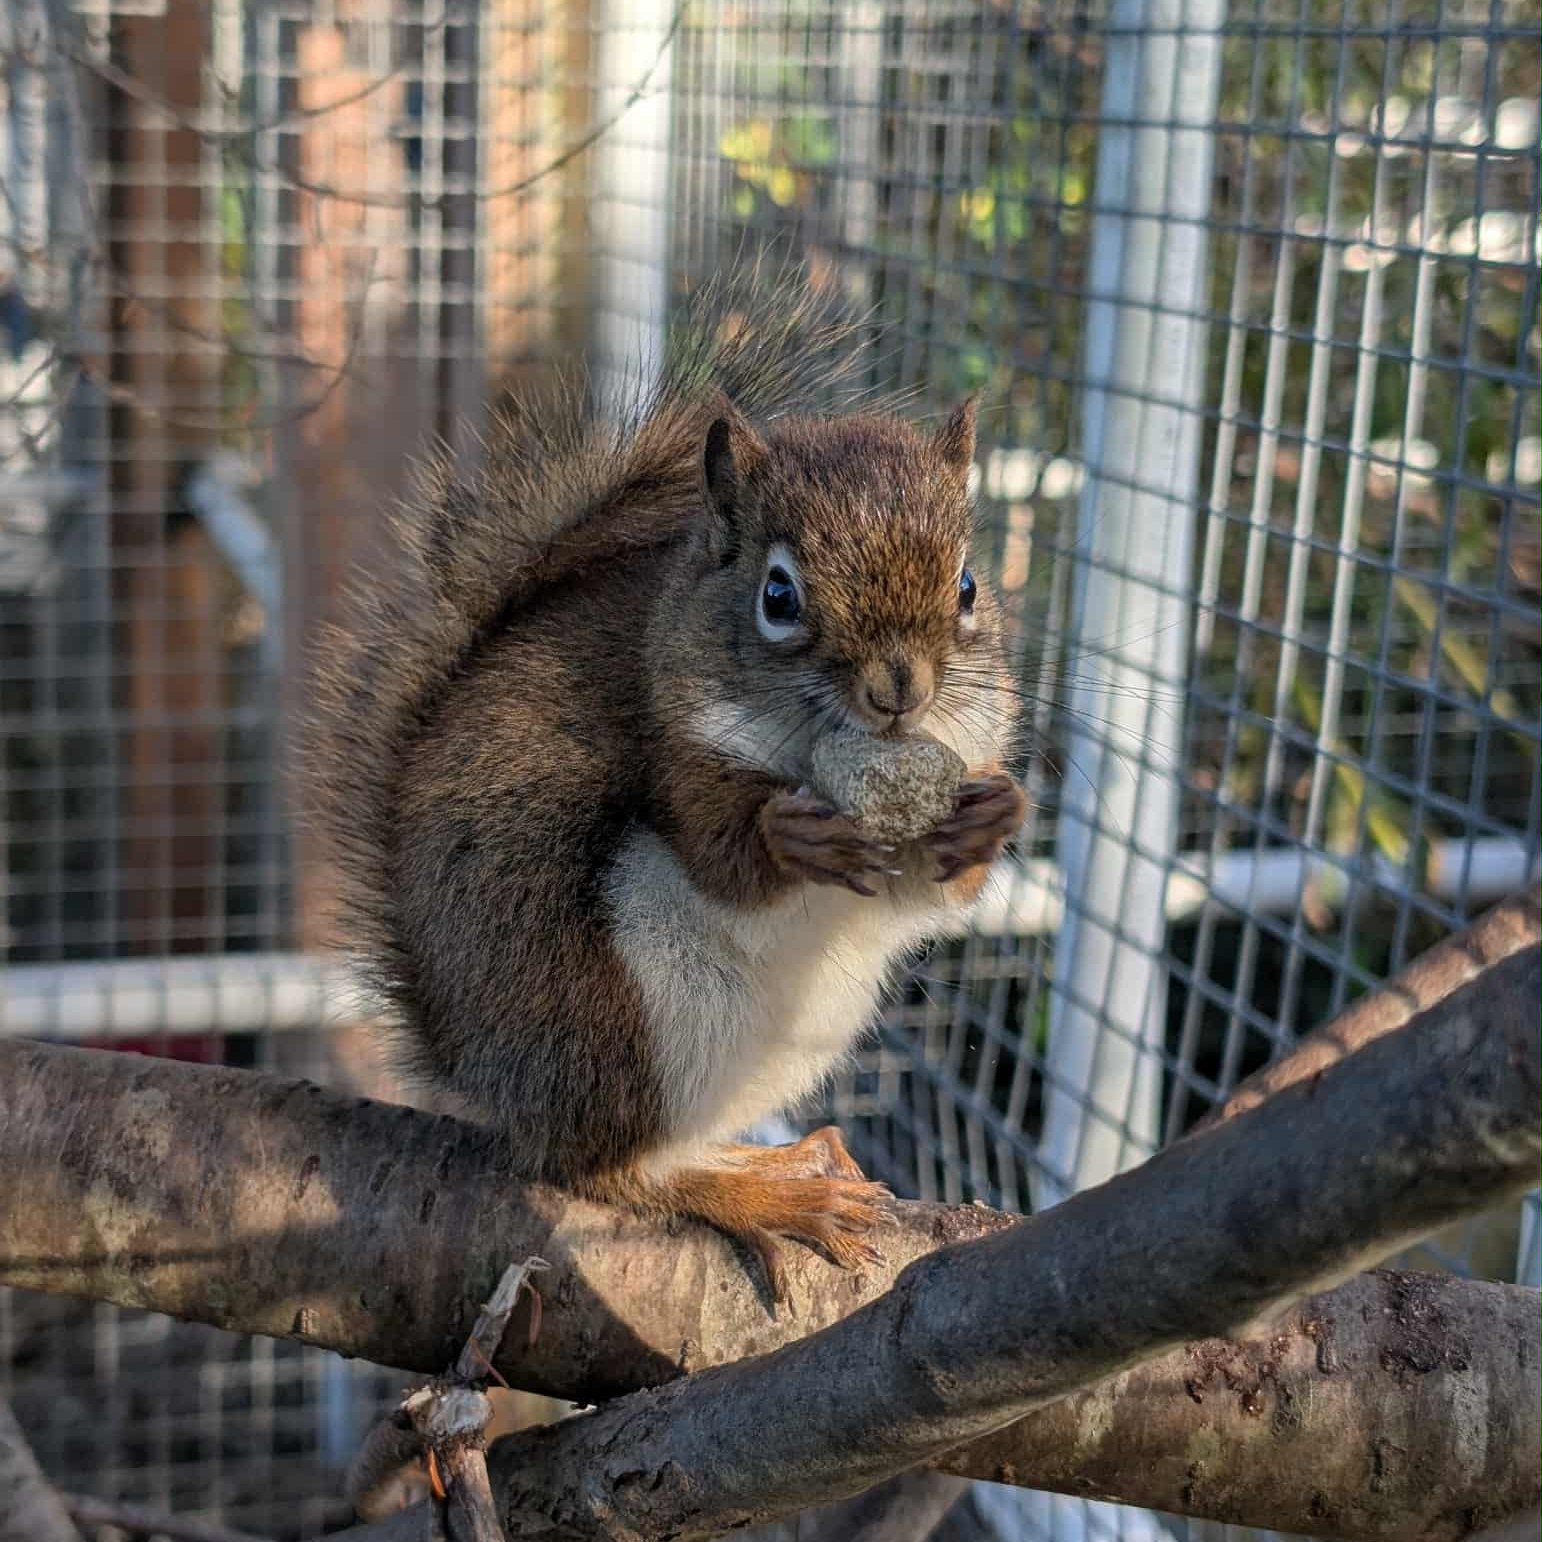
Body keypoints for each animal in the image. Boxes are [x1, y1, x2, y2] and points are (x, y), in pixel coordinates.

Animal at [310, 280, 1025, 1299]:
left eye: (968, 585)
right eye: (778, 595)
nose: (900, 690)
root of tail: (485, 1074)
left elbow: (930, 896)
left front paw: (991, 816)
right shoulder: (671, 751)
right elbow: (724, 857)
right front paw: (789, 838)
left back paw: (782, 1159)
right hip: (627, 1010)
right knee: (604, 1167)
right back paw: (757, 1195)